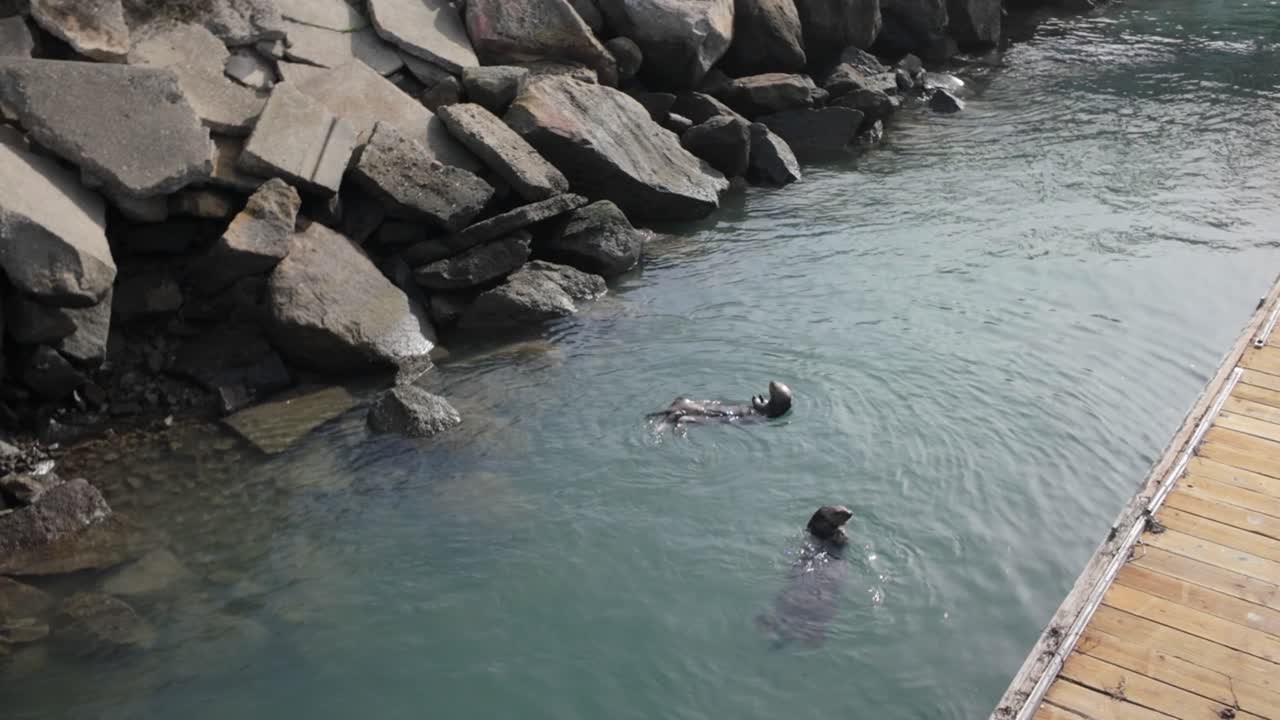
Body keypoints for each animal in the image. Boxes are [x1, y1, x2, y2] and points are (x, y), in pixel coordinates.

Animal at [648, 381, 793, 426]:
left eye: (774, 387)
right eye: (776, 384)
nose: (771, 381)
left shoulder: (765, 411)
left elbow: (758, 405)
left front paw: (756, 398)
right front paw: (760, 396)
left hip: (686, 413)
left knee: (678, 416)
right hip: (681, 401)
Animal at [756, 505, 854, 648]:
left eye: (845, 507)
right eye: (838, 511)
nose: (850, 513)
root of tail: (789, 626)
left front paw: (840, 531)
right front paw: (836, 531)